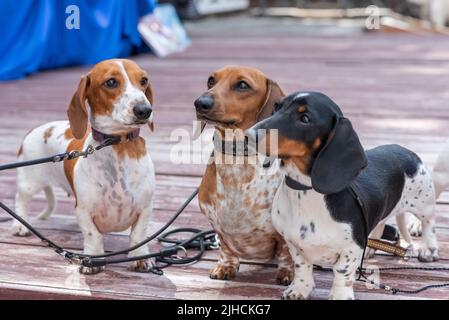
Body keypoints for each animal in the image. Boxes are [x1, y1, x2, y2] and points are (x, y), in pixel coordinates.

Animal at [12, 58, 156, 274]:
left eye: (144, 80)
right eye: (111, 82)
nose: (144, 110)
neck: (117, 144)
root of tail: (37, 129)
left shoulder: (145, 207)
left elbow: (138, 234)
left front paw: (141, 258)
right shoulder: (84, 210)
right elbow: (92, 234)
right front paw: (93, 259)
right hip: (29, 183)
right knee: (20, 200)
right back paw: (20, 225)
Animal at [193, 66, 294, 284]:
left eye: (242, 85)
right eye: (211, 80)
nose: (200, 103)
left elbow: (286, 252)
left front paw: (287, 273)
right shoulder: (216, 225)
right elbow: (225, 247)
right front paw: (226, 266)